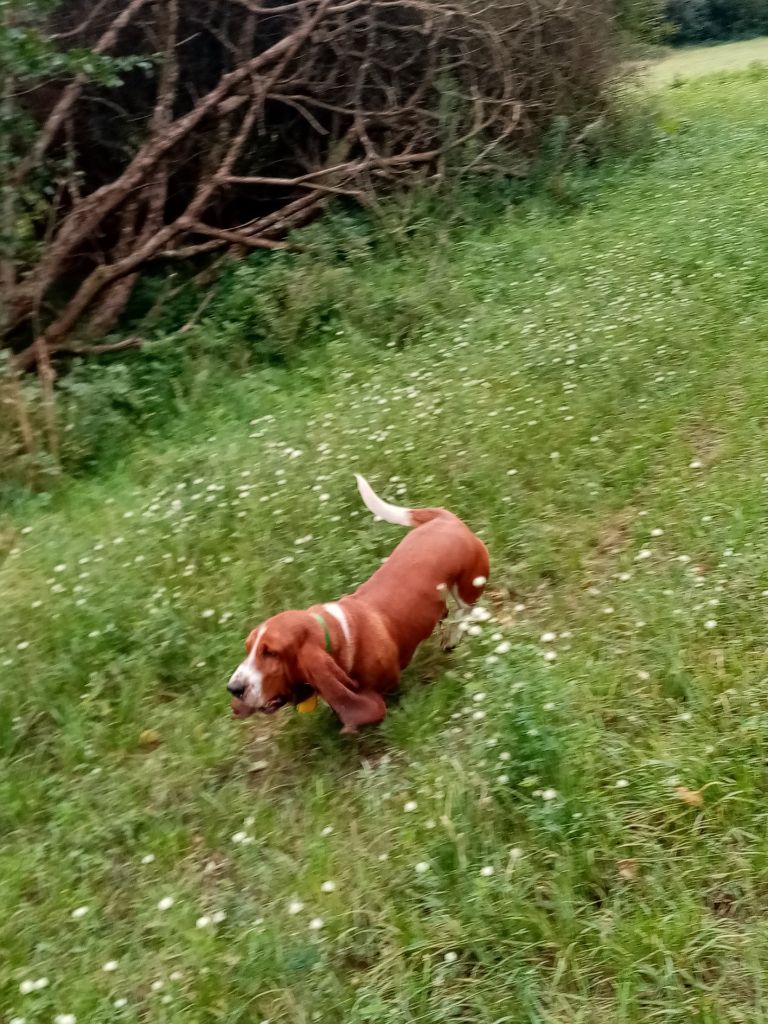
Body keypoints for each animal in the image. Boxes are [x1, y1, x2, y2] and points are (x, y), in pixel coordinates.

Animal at [225, 475, 489, 733]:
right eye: (248, 648)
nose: (233, 688)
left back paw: (453, 636)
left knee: (464, 612)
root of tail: (445, 519)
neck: (339, 631)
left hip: (468, 586)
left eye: (271, 653)